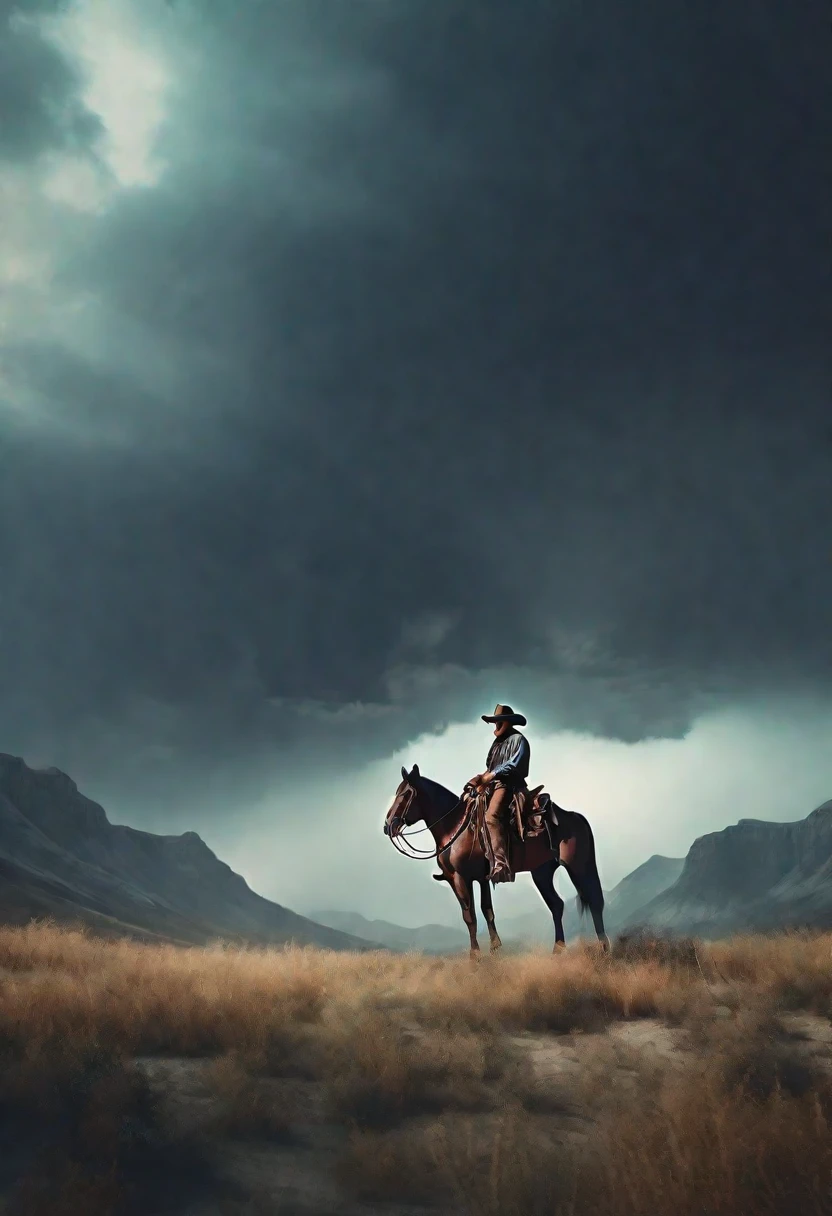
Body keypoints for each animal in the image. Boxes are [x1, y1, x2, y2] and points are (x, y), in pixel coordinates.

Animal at [384, 763, 610, 953]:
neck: (455, 827)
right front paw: (494, 948)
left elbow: (470, 916)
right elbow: (487, 911)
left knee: (595, 901)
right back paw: (558, 950)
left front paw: (475, 955)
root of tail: (576, 817)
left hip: (579, 867)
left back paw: (604, 949)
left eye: (405, 794)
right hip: (542, 873)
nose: (388, 826)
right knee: (557, 905)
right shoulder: (477, 878)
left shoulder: (460, 878)